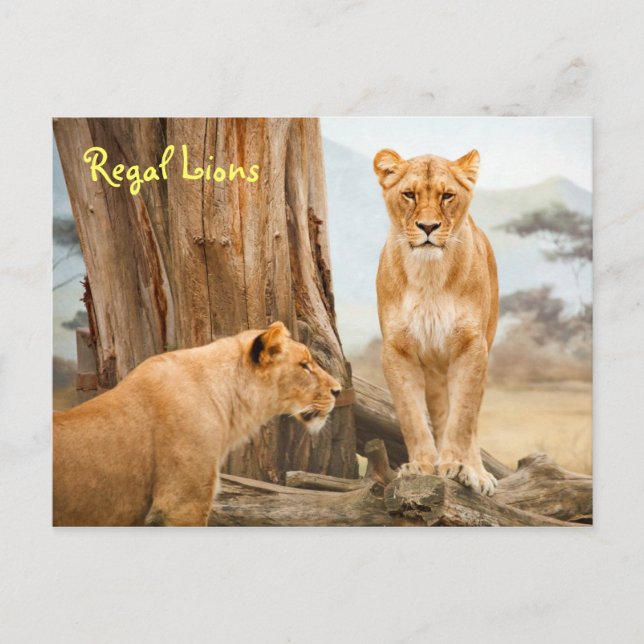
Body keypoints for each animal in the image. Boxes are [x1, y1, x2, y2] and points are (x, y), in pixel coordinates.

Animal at [373, 148, 499, 496]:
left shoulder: (471, 347)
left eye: (447, 195)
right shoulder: (397, 350)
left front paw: (458, 466)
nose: (428, 227)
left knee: (471, 420)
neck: (429, 275)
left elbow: (463, 419)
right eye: (409, 194)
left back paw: (477, 473)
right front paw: (421, 465)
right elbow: (412, 416)